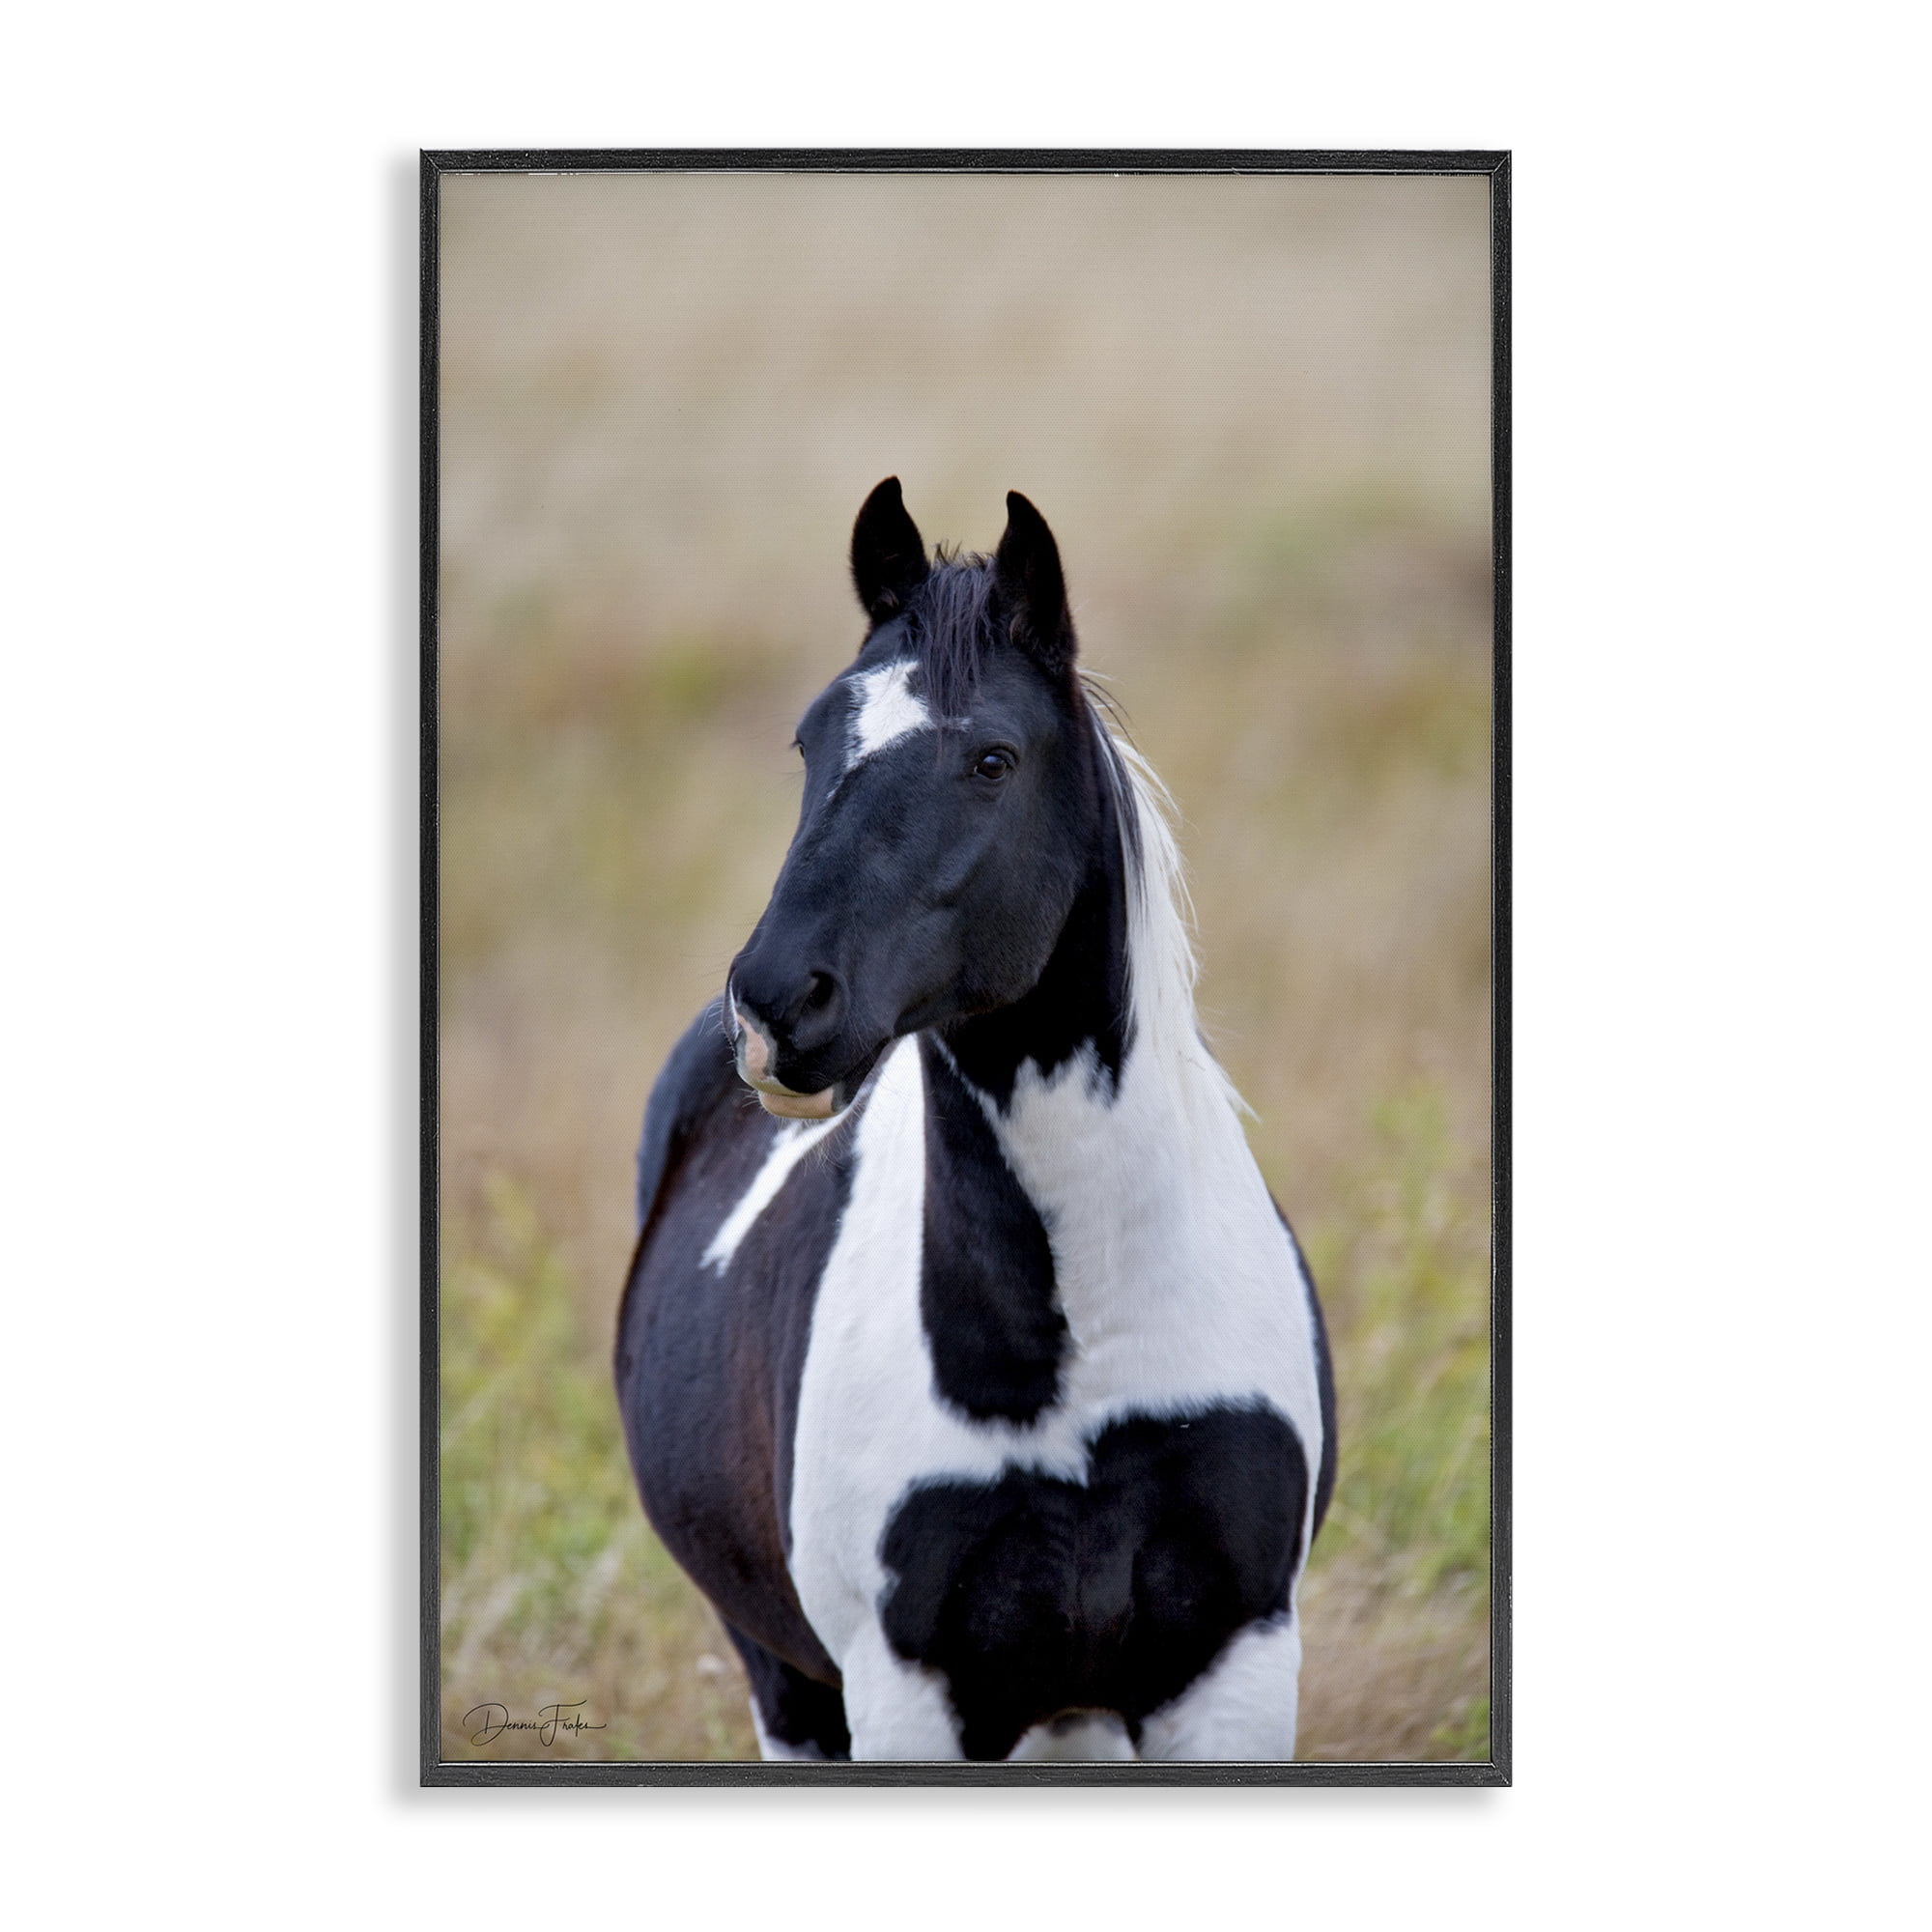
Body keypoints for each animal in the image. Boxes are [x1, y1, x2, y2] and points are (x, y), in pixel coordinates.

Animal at [615, 479, 1336, 1762]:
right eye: (810, 741)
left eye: (992, 758)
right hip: (790, 1684)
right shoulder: (908, 1691)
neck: (1079, 1354)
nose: (773, 1004)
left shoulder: (1232, 1666)